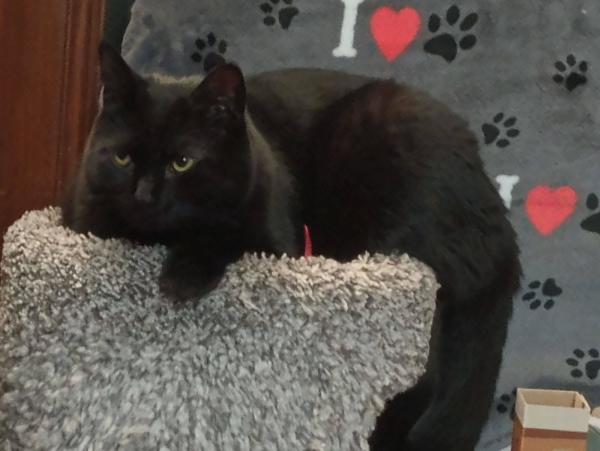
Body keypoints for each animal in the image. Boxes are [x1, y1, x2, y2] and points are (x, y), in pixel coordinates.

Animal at [62, 42, 520, 451]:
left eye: (182, 162)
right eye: (122, 158)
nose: (143, 196)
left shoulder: (274, 236)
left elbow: (226, 235)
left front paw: (182, 277)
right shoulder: (83, 217)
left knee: (427, 375)